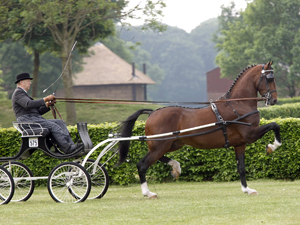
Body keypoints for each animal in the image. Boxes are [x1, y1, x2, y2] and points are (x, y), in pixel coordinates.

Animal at [116, 62, 282, 199]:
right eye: (270, 78)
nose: (274, 100)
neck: (238, 104)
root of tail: (152, 113)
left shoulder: (240, 144)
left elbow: (241, 168)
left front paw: (247, 190)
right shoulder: (250, 134)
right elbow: (275, 125)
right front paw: (271, 147)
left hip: (171, 144)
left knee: (158, 158)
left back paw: (176, 167)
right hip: (160, 145)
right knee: (142, 165)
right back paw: (148, 193)